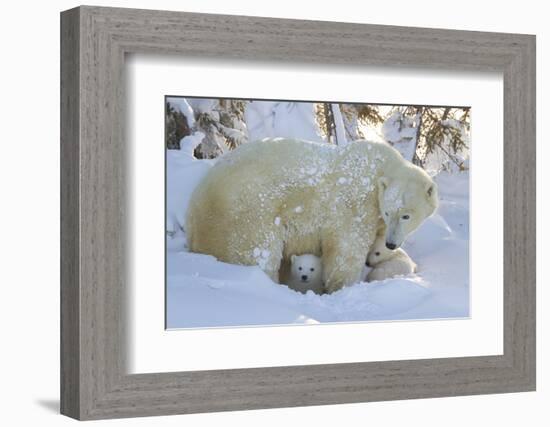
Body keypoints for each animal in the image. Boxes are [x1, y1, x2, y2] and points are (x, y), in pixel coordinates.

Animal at [187, 139, 440, 292]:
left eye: (406, 216)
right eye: (390, 212)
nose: (391, 243)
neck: (379, 168)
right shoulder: (355, 206)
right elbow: (345, 252)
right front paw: (342, 287)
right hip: (246, 217)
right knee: (258, 254)